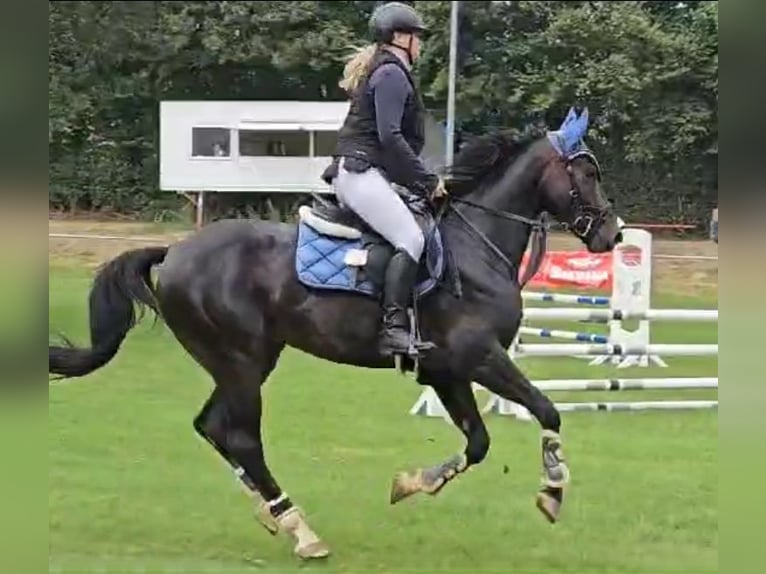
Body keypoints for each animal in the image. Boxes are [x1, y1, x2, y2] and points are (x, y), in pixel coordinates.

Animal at [48, 108, 624, 564]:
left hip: (245, 362)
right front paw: (552, 491)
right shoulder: (479, 357)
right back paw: (301, 531)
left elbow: (478, 443)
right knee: (240, 437)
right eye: (585, 172)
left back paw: (271, 514)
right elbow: (547, 411)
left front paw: (412, 483)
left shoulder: (446, 371)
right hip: (241, 361)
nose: (612, 234)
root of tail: (174, 252)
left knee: (212, 426)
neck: (474, 246)